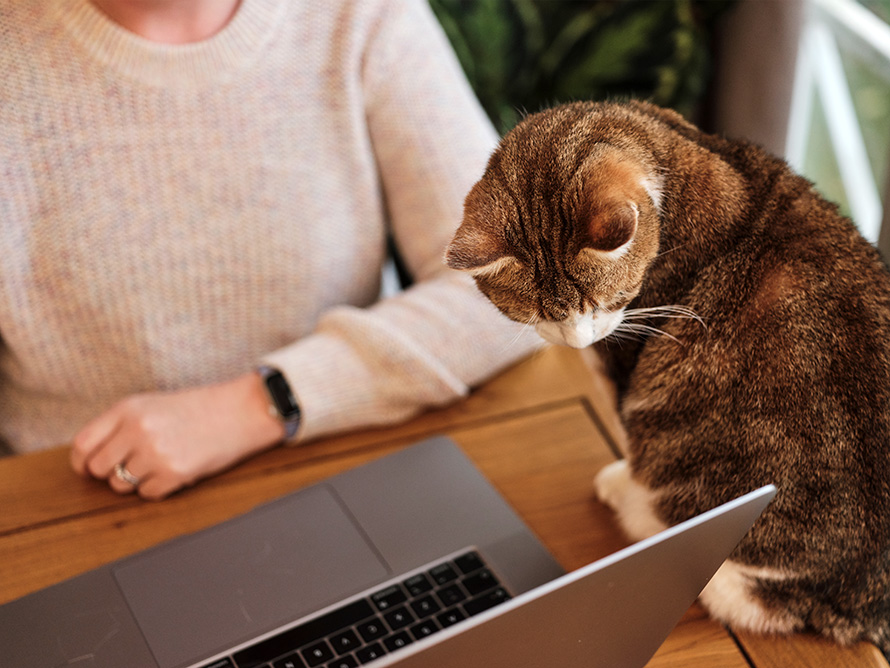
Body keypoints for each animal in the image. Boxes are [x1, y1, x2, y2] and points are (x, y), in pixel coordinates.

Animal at [444, 100, 890, 652]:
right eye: (538, 316)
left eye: (608, 300)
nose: (578, 340)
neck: (662, 144)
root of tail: (860, 601)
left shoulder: (627, 354)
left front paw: (623, 480)